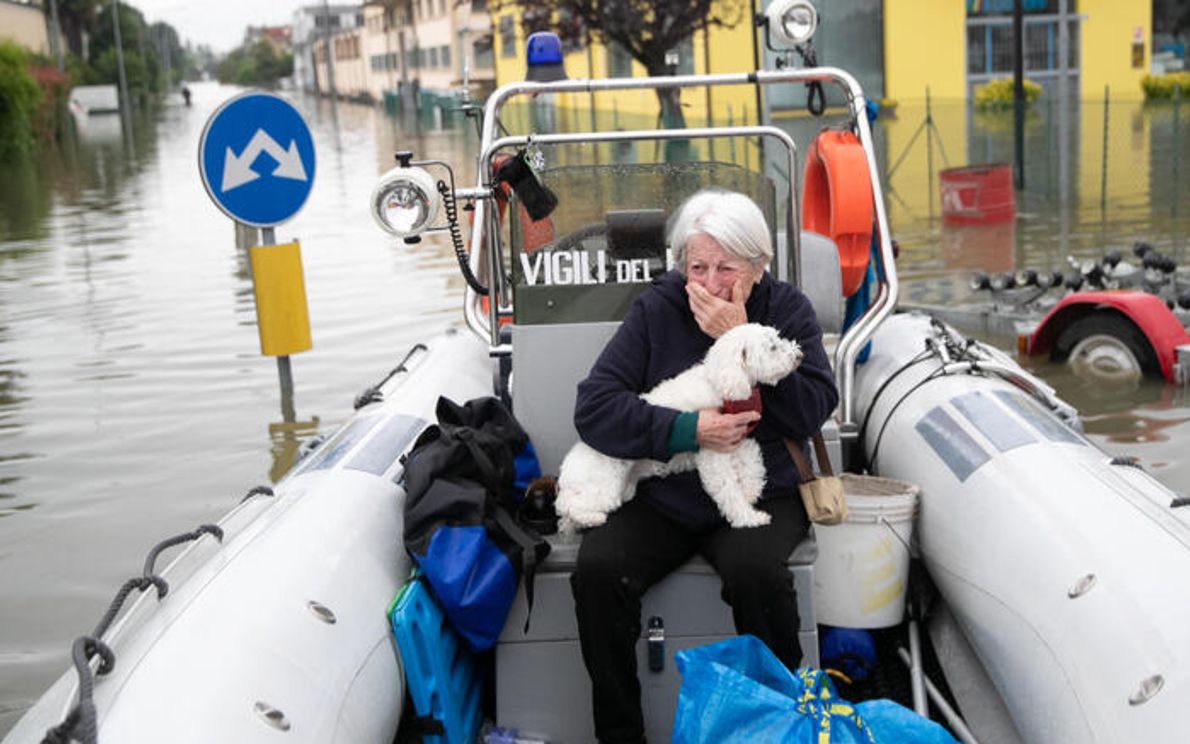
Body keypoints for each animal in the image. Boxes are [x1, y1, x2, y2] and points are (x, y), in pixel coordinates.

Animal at [554, 321, 799, 530]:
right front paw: (749, 518)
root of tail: (568, 468)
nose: (799, 355)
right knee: (566, 505)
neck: (718, 382)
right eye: (773, 347)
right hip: (602, 486)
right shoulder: (714, 451)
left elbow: (752, 460)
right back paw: (592, 518)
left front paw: (750, 491)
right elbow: (728, 490)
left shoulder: (737, 437)